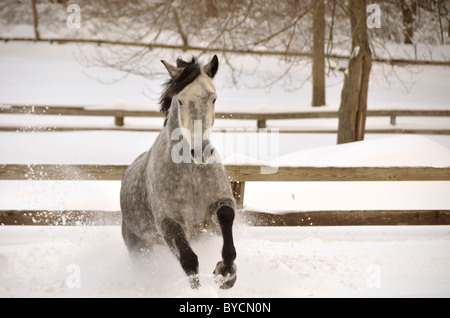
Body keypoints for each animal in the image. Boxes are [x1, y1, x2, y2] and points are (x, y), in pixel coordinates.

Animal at [119, 55, 239, 290]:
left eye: (214, 98)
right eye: (181, 100)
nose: (201, 151)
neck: (191, 173)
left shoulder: (218, 207)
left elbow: (226, 215)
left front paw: (225, 273)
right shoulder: (169, 222)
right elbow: (189, 260)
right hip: (139, 249)